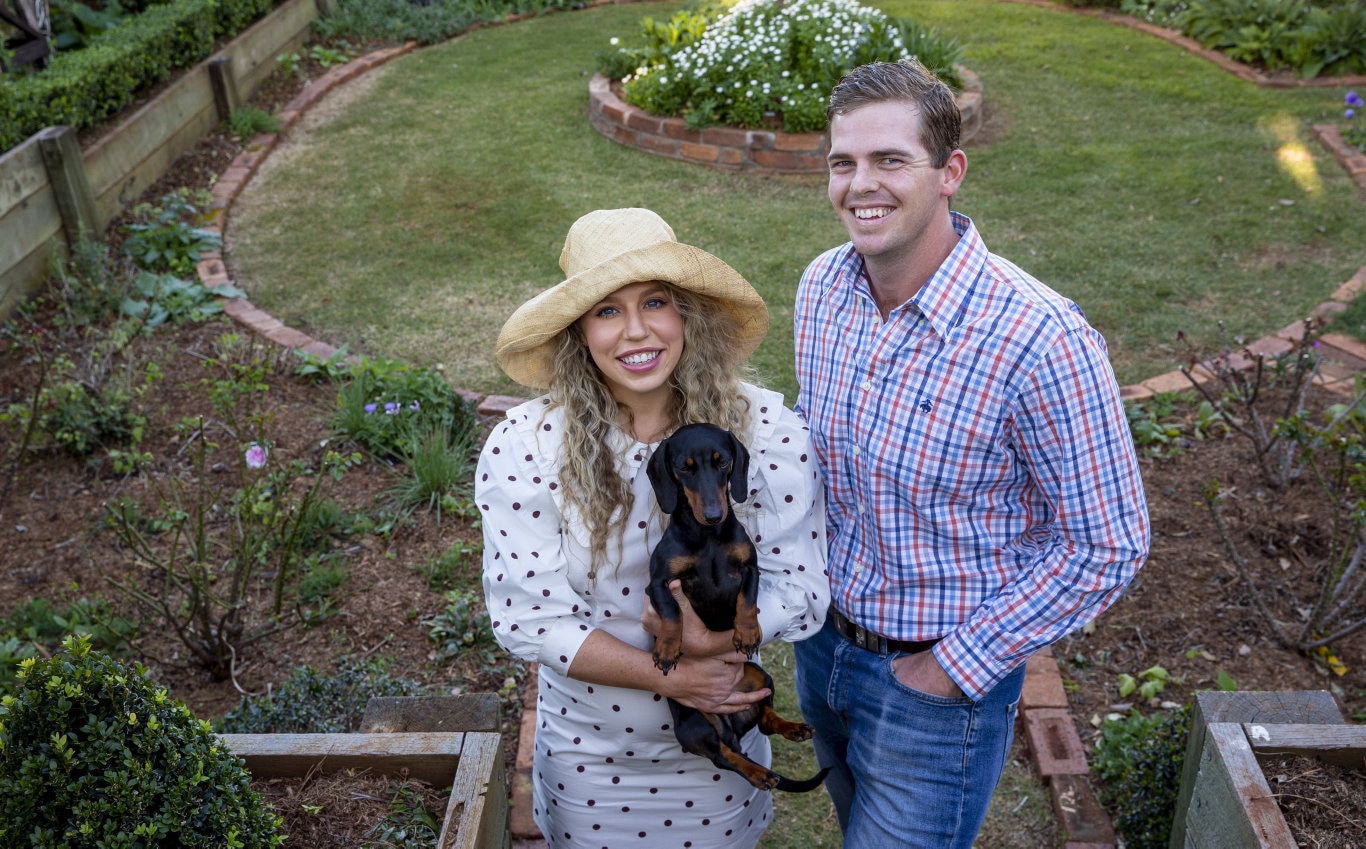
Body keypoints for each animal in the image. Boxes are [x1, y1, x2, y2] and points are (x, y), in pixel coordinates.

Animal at [644, 425, 825, 797]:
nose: (715, 514)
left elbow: (746, 601)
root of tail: (732, 725)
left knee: (765, 720)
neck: (709, 537)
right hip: (693, 725)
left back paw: (793, 729)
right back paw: (757, 773)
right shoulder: (657, 584)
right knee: (723, 756)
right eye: (684, 469)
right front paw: (667, 649)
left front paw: (748, 632)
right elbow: (672, 614)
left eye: (723, 463)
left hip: (761, 677)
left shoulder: (750, 569)